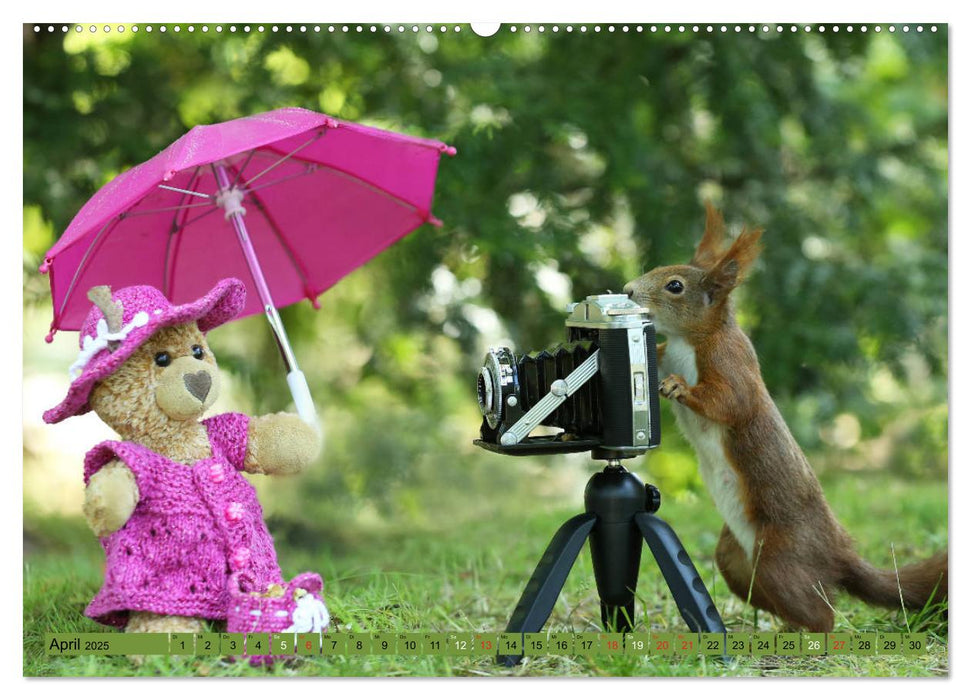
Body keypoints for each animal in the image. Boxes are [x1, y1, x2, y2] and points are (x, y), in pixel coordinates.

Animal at [624, 205, 948, 632]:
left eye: (674, 286)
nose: (627, 290)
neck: (687, 340)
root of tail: (838, 552)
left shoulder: (730, 363)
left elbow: (732, 402)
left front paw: (679, 387)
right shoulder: (663, 354)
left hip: (780, 556)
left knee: (822, 611)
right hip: (735, 558)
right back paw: (782, 628)